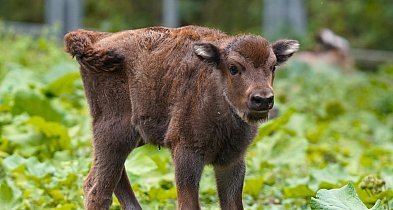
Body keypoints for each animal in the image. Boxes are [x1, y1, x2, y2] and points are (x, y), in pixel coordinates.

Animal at [64, 25, 298, 209]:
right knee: (97, 188)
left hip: (132, 137)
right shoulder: (186, 154)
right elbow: (188, 204)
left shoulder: (231, 161)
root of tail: (97, 38)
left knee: (112, 179)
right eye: (233, 68)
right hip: (113, 132)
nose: (263, 99)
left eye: (273, 66)